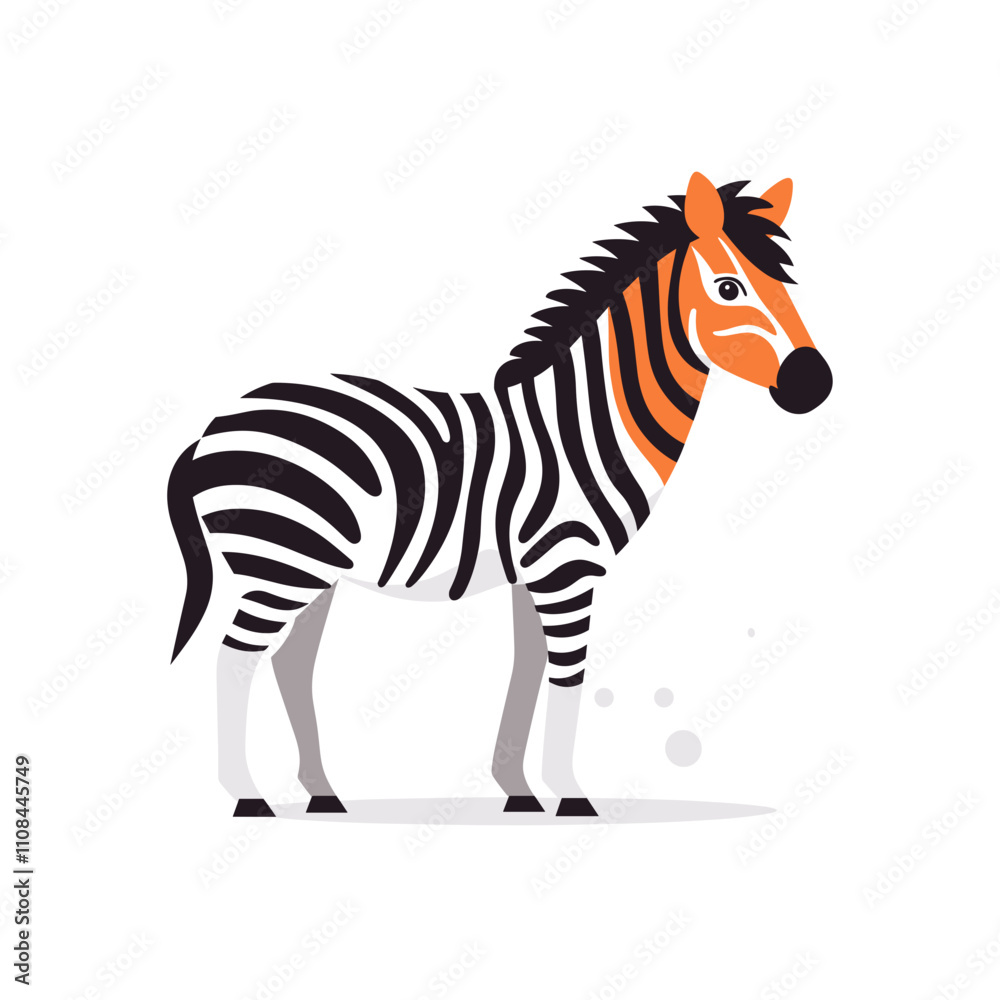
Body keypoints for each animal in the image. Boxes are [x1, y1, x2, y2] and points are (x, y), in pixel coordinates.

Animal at [168, 172, 832, 819]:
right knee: (235, 657)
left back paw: (322, 794)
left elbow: (527, 668)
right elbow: (567, 676)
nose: (815, 383)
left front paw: (519, 789)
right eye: (729, 288)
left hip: (310, 568)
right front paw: (571, 797)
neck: (585, 423)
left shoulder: (536, 572)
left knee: (288, 663)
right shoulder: (567, 564)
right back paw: (249, 797)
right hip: (279, 561)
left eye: (785, 284)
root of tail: (212, 427)